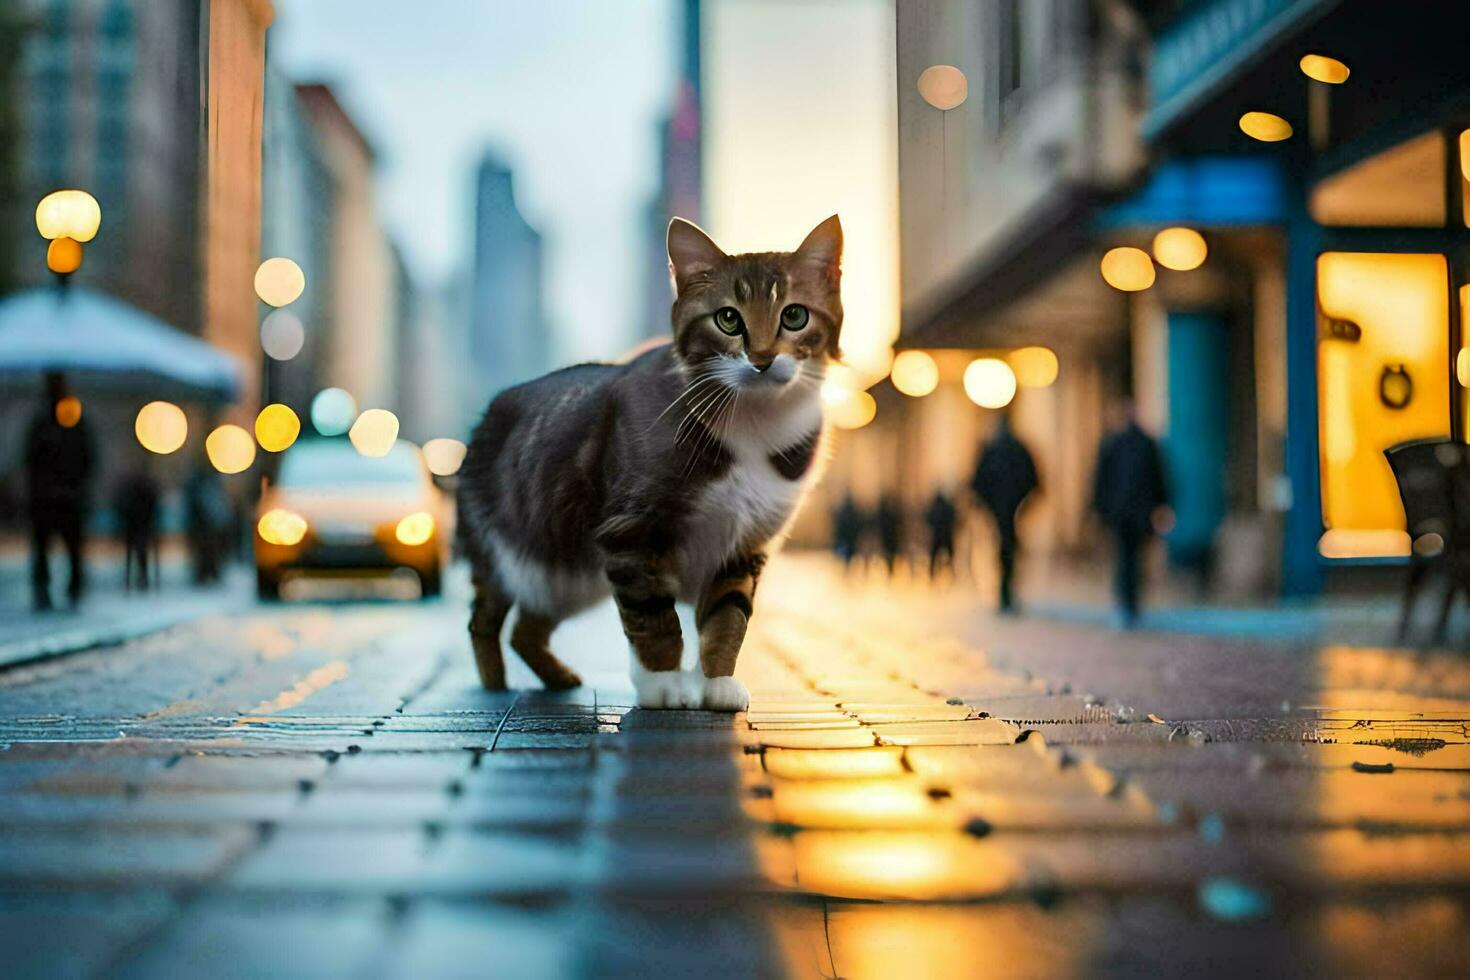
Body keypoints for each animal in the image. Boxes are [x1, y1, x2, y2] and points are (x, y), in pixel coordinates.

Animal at [458, 214, 846, 708]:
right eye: (728, 319)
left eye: (794, 315)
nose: (761, 360)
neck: (755, 423)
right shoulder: (630, 533)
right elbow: (653, 617)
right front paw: (662, 682)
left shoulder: (743, 547)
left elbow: (729, 617)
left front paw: (715, 682)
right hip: (506, 552)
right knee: (485, 618)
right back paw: (493, 685)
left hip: (565, 576)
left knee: (527, 628)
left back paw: (558, 677)